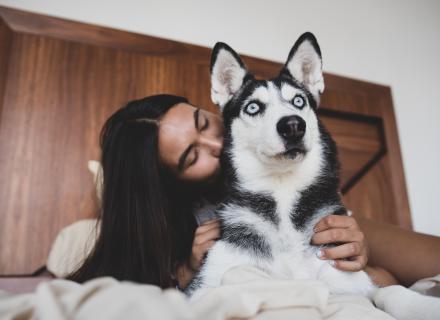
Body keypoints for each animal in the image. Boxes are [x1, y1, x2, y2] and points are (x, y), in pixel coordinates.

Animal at [187, 31, 376, 298]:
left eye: (298, 101)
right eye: (253, 107)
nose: (293, 125)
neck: (282, 187)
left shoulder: (345, 276)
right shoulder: (209, 281)